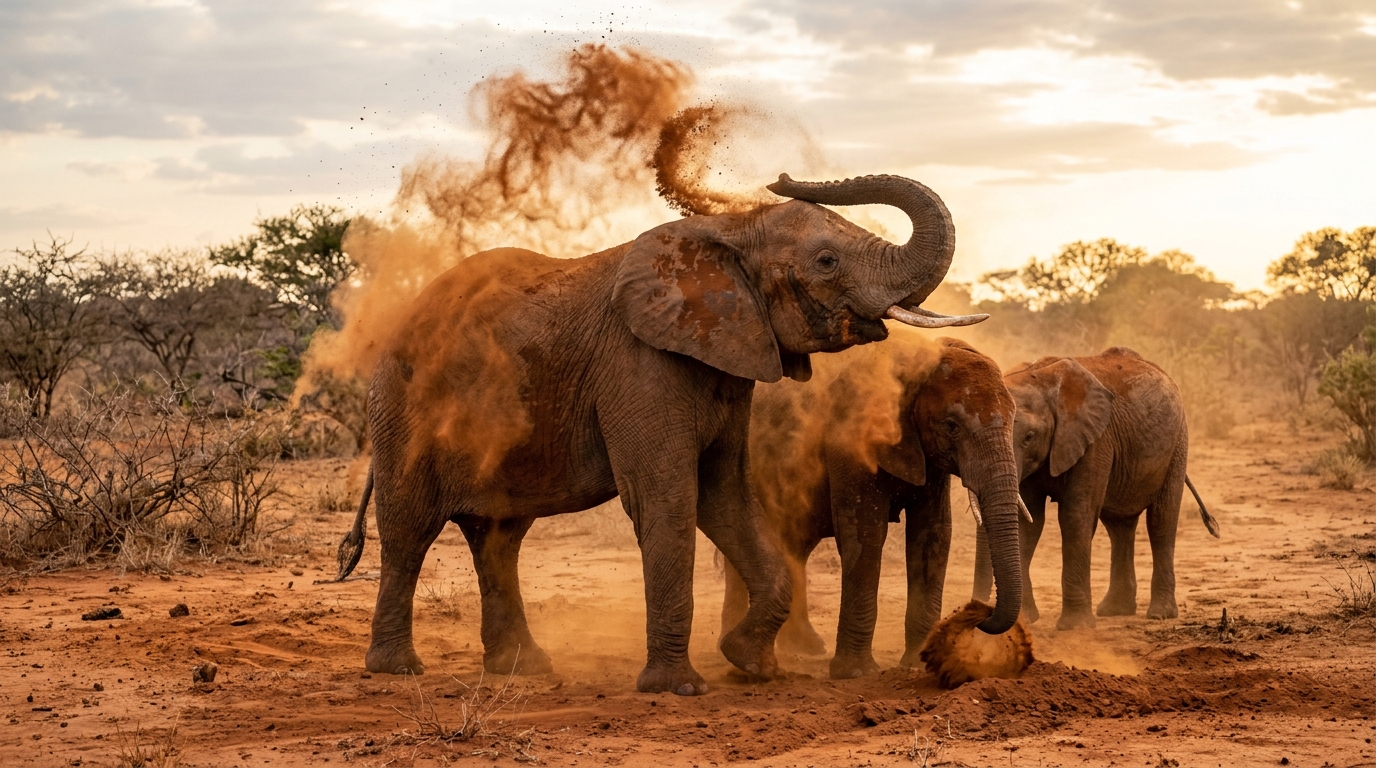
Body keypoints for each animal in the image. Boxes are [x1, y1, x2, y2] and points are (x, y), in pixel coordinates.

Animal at [333, 173, 994, 696]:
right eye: (827, 262)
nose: (780, 176)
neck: (725, 234)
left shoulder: (730, 365)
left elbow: (725, 497)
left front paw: (750, 664)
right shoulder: (641, 362)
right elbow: (667, 497)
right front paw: (679, 688)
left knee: (498, 536)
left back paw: (524, 669)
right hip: (404, 409)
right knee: (411, 528)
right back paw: (398, 670)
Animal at [721, 336, 1024, 678]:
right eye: (952, 426)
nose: (979, 614)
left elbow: (932, 536)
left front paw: (921, 663)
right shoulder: (851, 442)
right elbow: (865, 535)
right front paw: (856, 673)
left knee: (794, 545)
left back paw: (805, 647)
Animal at [972, 346, 1219, 630]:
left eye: (1029, 437)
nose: (979, 612)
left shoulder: (1096, 440)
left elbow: (1076, 516)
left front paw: (1075, 627)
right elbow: (1028, 523)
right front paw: (1024, 620)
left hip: (1178, 441)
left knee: (1161, 521)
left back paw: (1160, 614)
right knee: (1119, 526)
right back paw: (1115, 610)